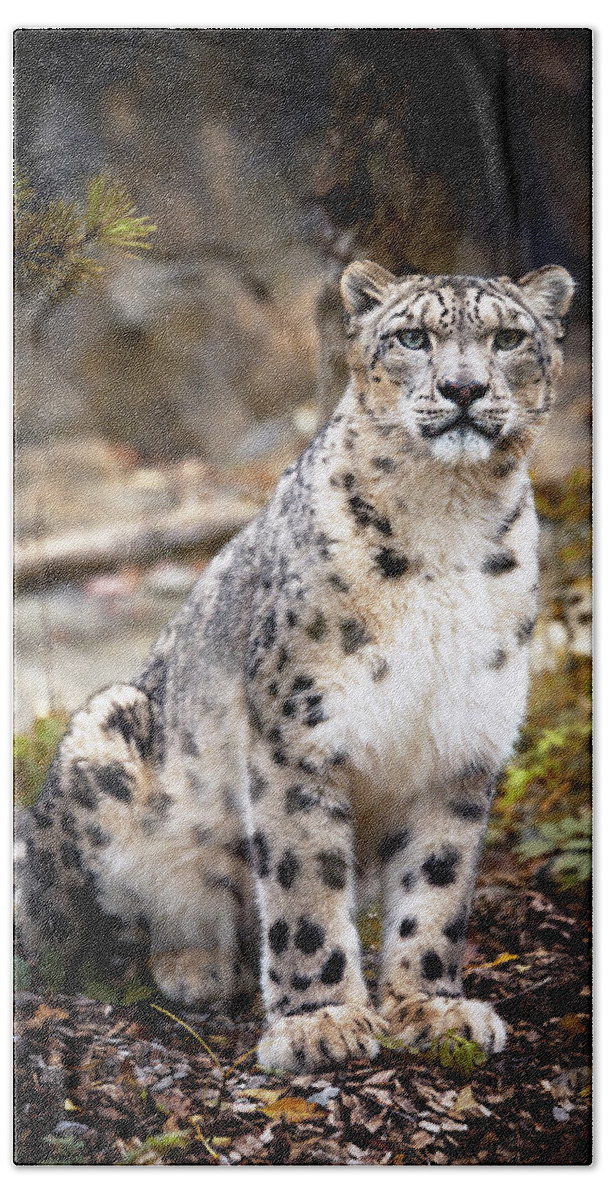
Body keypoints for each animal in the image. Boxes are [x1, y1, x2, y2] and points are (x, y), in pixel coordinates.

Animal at [16, 260, 573, 1070]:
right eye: (413, 337)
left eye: (508, 338)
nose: (465, 388)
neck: (449, 519)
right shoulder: (299, 734)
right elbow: (305, 885)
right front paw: (322, 1023)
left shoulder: (463, 742)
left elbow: (436, 889)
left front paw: (432, 1008)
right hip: (107, 733)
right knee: (88, 931)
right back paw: (194, 968)